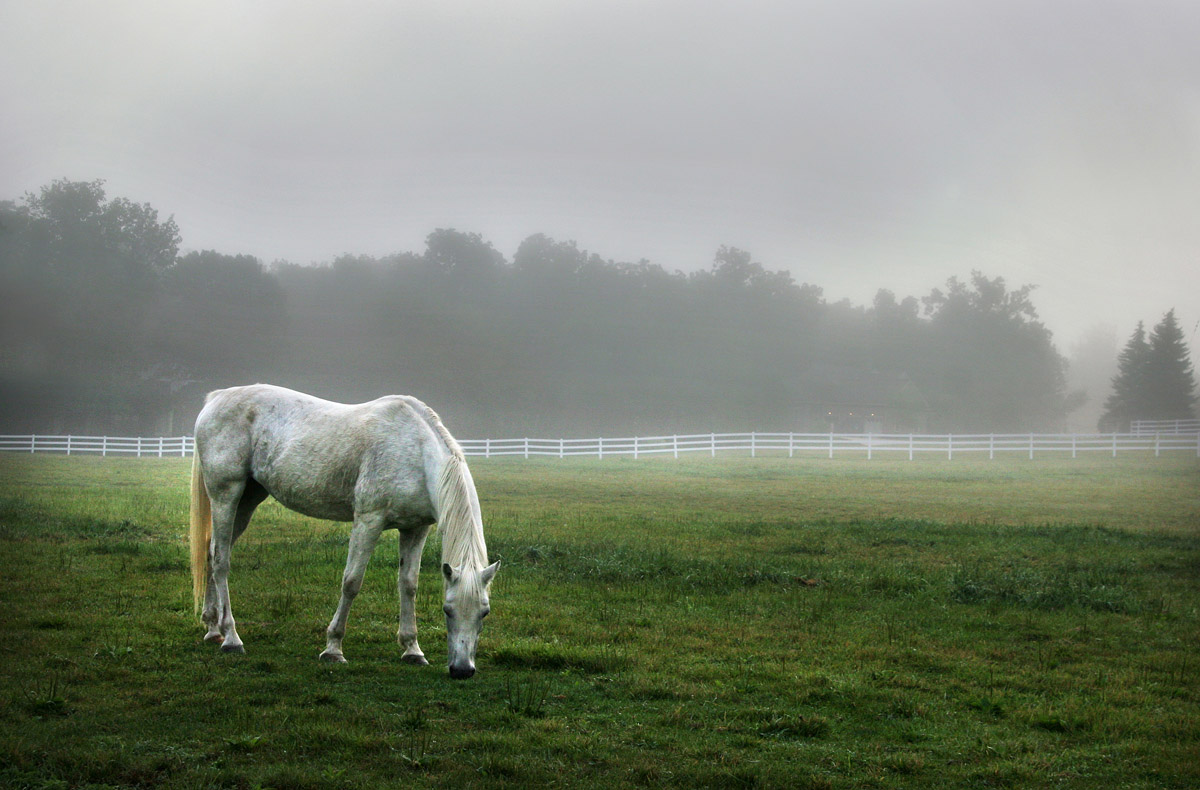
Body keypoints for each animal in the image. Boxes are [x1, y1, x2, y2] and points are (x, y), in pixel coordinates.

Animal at [189, 384, 499, 677]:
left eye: (485, 613)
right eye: (448, 609)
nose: (462, 670)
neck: (415, 451)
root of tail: (217, 398)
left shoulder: (415, 528)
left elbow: (408, 585)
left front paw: (412, 649)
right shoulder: (368, 521)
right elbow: (351, 582)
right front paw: (333, 648)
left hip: (248, 499)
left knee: (212, 552)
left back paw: (213, 628)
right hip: (226, 495)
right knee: (221, 561)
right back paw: (231, 637)